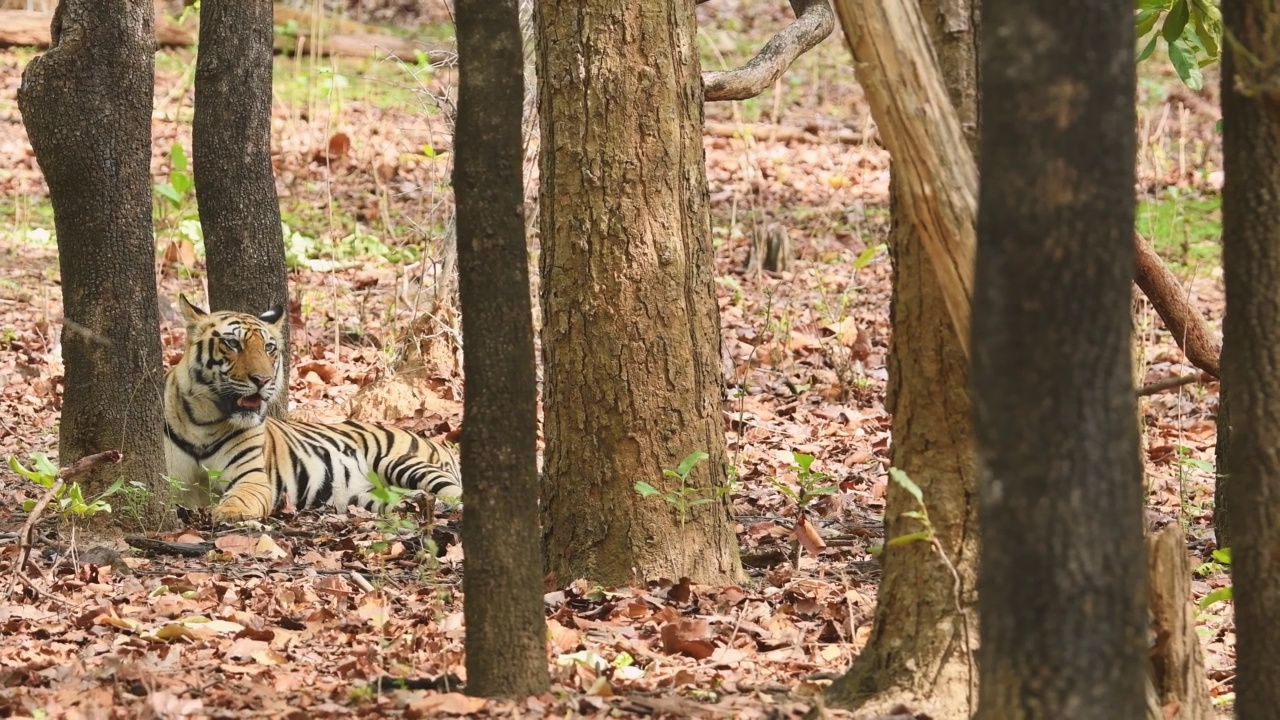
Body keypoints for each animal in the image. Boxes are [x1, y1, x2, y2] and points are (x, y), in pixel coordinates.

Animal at [165, 293, 463, 520]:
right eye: (232, 343)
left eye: (269, 348)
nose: (263, 380)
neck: (205, 422)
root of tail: (442, 445)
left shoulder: (250, 476)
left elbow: (241, 496)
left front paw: (231, 512)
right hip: (369, 496)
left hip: (399, 460)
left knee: (454, 493)